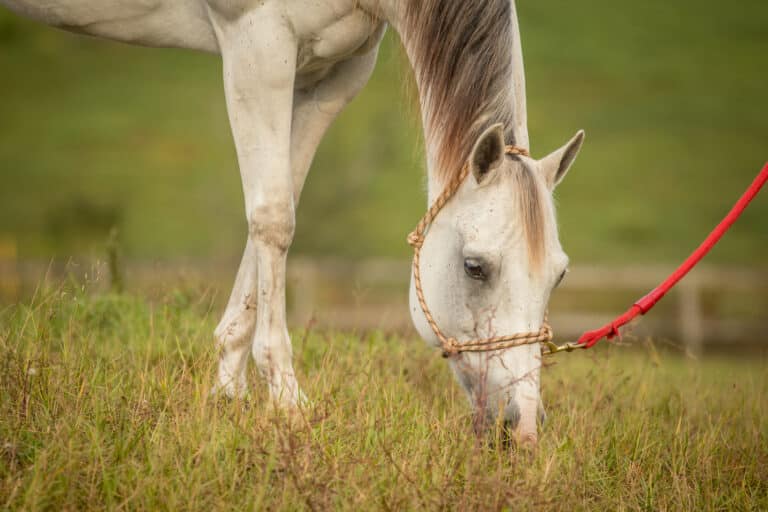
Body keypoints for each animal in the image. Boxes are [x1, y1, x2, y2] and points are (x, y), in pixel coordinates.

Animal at [1, 0, 584, 444]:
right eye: (474, 267)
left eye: (559, 276)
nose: (523, 429)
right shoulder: (257, 43)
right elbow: (275, 216)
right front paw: (285, 398)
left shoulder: (332, 74)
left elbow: (277, 206)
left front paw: (228, 388)